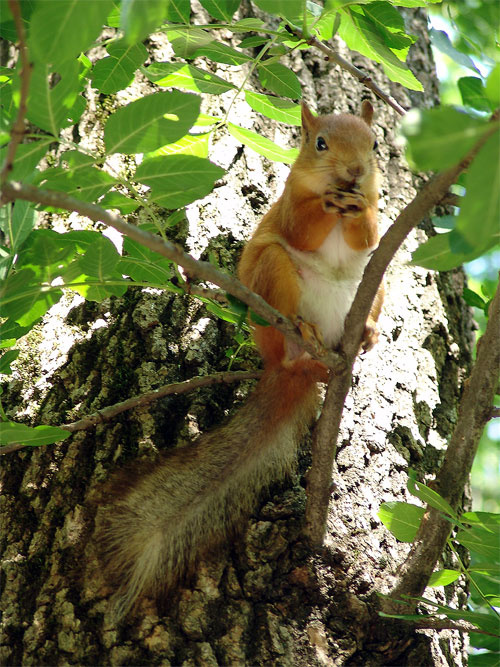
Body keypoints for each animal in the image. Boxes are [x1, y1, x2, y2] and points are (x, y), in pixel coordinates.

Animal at [94, 100, 384, 620]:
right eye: (319, 143)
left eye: (374, 144)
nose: (353, 172)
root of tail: (288, 368)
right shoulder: (289, 204)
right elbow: (302, 228)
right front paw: (326, 205)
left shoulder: (373, 223)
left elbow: (366, 235)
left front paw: (359, 210)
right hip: (274, 273)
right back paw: (304, 334)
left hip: (379, 284)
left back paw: (364, 335)